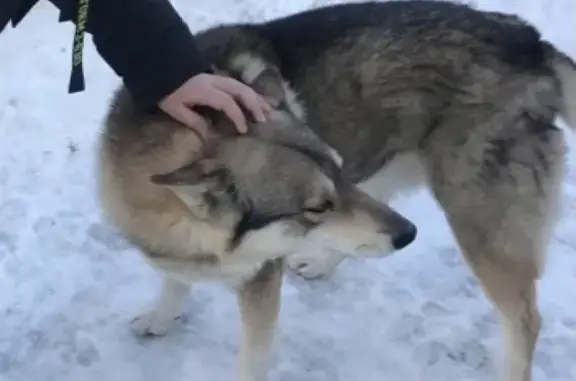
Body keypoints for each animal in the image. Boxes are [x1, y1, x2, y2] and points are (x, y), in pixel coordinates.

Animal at [97, 0, 576, 380]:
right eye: (318, 206)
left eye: (338, 174)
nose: (412, 235)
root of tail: (532, 44)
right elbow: (174, 281)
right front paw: (162, 316)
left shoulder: (261, 284)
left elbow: (252, 360)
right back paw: (333, 258)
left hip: (479, 226)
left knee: (524, 322)